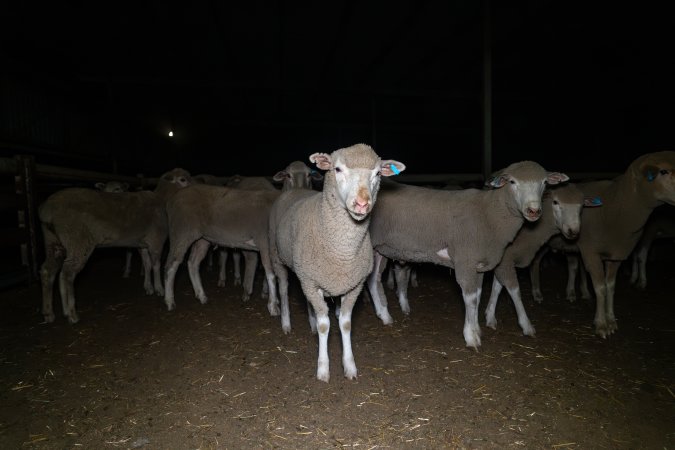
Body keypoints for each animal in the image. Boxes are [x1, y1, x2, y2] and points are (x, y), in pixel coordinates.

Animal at [39, 169, 193, 324]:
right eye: (183, 179)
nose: (196, 186)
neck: (162, 199)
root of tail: (47, 210)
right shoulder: (156, 240)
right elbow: (156, 265)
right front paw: (159, 289)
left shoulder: (142, 244)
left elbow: (147, 264)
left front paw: (148, 287)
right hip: (77, 240)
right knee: (67, 274)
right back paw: (71, 313)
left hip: (53, 242)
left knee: (48, 271)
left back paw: (49, 313)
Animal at [162, 162, 318, 312]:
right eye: (288, 175)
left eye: (309, 175)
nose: (300, 191)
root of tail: (173, 199)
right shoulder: (265, 243)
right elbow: (271, 274)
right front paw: (273, 306)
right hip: (181, 232)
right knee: (171, 264)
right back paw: (169, 301)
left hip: (202, 239)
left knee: (192, 263)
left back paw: (202, 296)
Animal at [268, 142, 406, 382]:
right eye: (338, 169)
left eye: (378, 174)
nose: (362, 204)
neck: (342, 251)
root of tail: (293, 191)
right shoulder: (312, 282)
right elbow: (325, 325)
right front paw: (323, 369)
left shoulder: (352, 285)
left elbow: (345, 323)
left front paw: (349, 366)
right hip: (279, 258)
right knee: (284, 288)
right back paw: (286, 322)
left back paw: (311, 323)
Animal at [368, 162, 568, 348]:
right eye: (512, 182)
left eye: (544, 182)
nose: (533, 211)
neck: (489, 213)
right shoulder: (465, 259)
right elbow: (470, 298)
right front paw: (471, 338)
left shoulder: (478, 264)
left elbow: (478, 296)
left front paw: (477, 329)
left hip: (379, 249)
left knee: (373, 280)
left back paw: (384, 316)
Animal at [486, 183, 604, 334]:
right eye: (555, 202)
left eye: (582, 206)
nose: (573, 231)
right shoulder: (506, 259)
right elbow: (514, 290)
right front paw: (526, 326)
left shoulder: (503, 261)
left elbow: (497, 286)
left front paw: (490, 317)